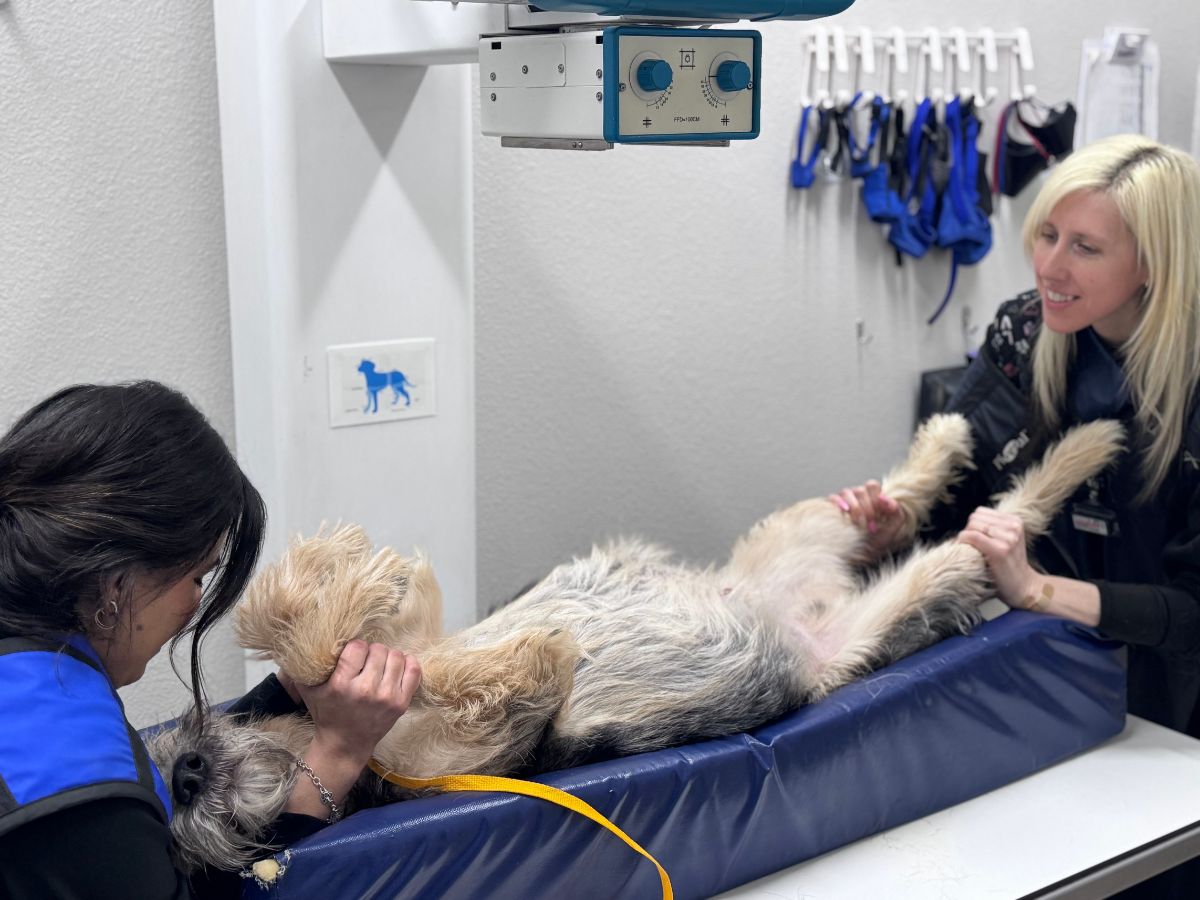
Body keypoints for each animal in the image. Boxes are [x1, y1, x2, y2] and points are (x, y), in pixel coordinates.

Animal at [147, 415, 1123, 873]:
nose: (185, 773)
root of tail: (797, 608)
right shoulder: (513, 696)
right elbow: (480, 658)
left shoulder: (436, 638)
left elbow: (319, 630)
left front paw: (340, 570)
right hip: (887, 601)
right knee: (996, 527)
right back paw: (1064, 466)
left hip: (803, 528)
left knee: (910, 499)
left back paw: (965, 442)